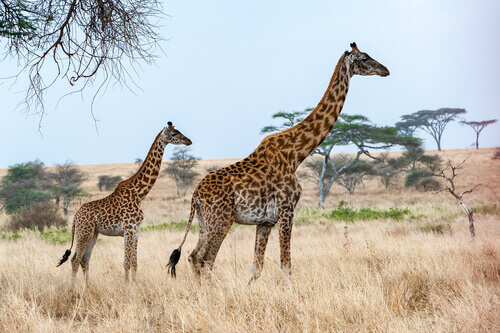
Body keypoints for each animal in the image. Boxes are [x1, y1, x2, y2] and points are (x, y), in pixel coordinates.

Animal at [58, 122, 191, 282]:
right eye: (173, 134)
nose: (189, 141)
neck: (139, 194)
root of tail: (75, 218)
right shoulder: (128, 230)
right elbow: (126, 262)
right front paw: (127, 286)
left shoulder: (136, 231)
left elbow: (134, 263)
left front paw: (134, 284)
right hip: (84, 233)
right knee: (75, 260)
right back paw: (73, 288)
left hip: (93, 234)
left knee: (85, 260)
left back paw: (87, 286)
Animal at [166, 40, 388, 280]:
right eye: (365, 58)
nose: (385, 70)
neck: (296, 154)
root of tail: (196, 194)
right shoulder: (286, 210)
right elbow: (286, 265)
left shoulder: (265, 221)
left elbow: (256, 268)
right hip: (221, 220)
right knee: (205, 260)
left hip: (204, 221)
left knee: (193, 257)